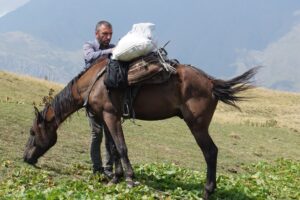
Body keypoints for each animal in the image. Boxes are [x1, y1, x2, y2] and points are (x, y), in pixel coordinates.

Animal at [23, 55, 258, 198]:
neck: (95, 83)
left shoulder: (110, 116)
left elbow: (121, 148)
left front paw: (128, 179)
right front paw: (115, 177)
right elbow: (112, 149)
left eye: (33, 131)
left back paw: (207, 191)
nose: (26, 158)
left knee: (210, 152)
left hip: (197, 126)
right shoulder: (107, 117)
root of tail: (210, 82)